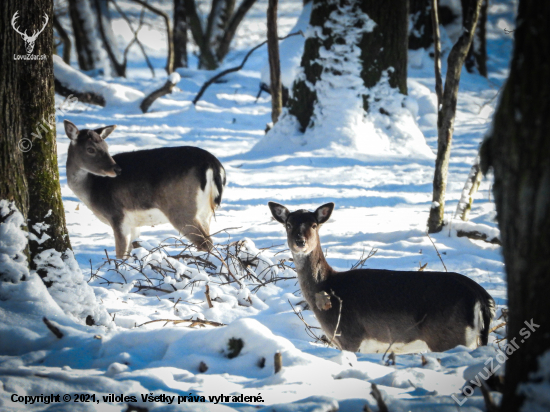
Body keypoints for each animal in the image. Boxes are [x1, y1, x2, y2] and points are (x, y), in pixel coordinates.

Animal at [64, 119, 226, 260]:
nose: (116, 169)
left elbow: (120, 254)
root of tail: (213, 164)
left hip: (182, 208)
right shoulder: (133, 224)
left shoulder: (117, 216)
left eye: (106, 147)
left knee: (205, 242)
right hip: (205, 212)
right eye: (90, 149)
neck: (91, 190)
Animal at [270, 201, 498, 352]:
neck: (329, 287)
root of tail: (482, 297)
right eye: (288, 224)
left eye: (314, 225)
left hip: (450, 338)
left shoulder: (349, 336)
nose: (300, 242)